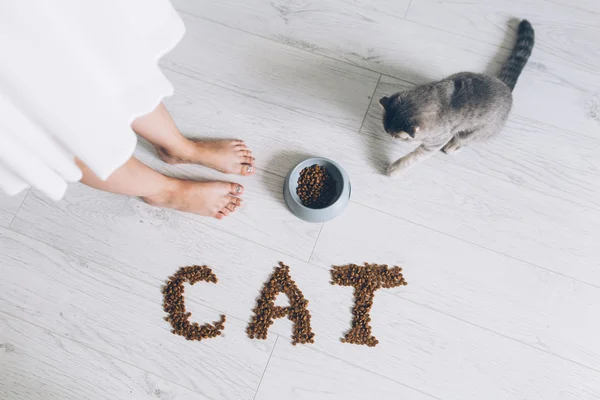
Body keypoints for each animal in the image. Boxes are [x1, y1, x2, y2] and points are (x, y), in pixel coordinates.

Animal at [380, 19, 536, 177]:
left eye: (396, 136)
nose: (389, 135)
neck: (434, 100)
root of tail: (505, 85)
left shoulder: (436, 142)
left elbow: (415, 157)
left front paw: (395, 169)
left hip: (479, 132)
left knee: (465, 139)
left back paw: (453, 145)